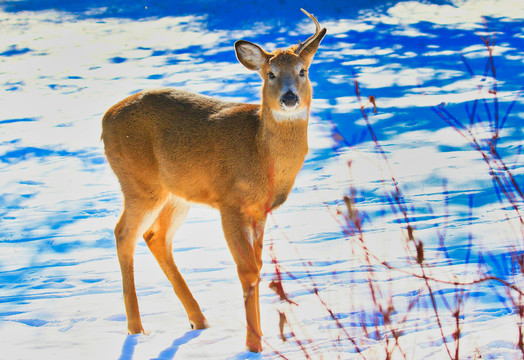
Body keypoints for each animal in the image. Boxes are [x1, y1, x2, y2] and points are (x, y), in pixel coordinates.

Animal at [101, 9, 326, 354]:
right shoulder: (230, 202)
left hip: (177, 193)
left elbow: (258, 265)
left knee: (156, 236)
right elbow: (247, 269)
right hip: (139, 182)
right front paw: (253, 345)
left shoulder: (259, 210)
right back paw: (136, 328)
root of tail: (104, 119)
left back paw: (198, 320)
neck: (261, 152)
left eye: (303, 70)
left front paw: (258, 340)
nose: (289, 97)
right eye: (270, 74)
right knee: (124, 233)